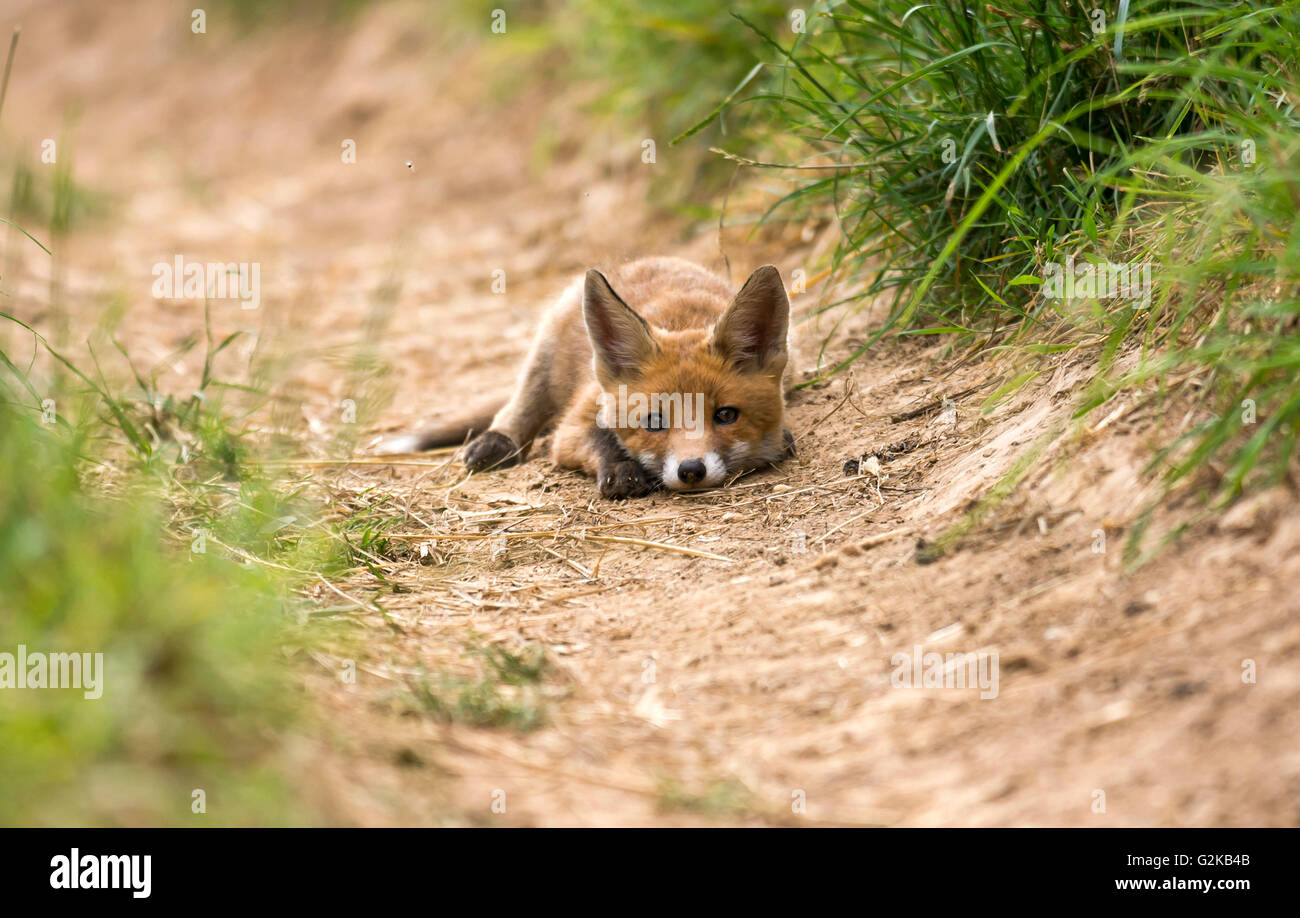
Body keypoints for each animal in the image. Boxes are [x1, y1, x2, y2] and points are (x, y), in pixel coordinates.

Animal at [379, 257, 790, 496]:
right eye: (654, 422)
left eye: (726, 416)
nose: (691, 471)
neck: (680, 323)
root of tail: (645, 259)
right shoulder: (573, 426)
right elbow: (599, 442)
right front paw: (622, 470)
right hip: (543, 358)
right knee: (515, 409)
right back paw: (496, 443)